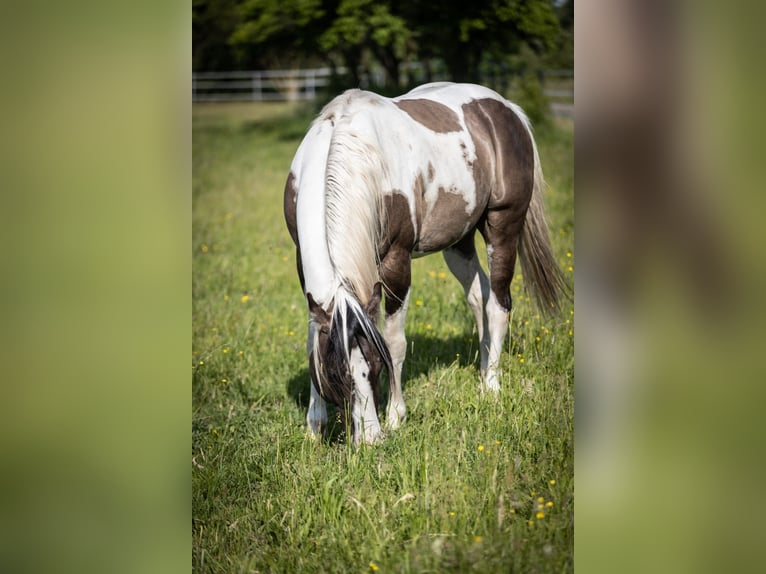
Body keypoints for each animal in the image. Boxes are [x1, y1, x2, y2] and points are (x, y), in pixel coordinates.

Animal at [284, 83, 568, 448]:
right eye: (336, 373)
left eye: (376, 365)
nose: (371, 441)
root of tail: (507, 109)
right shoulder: (303, 265)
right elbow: (312, 340)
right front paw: (313, 425)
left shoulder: (396, 262)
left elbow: (395, 342)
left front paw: (395, 417)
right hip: (459, 241)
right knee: (478, 296)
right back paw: (481, 371)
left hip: (503, 227)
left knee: (499, 304)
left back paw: (491, 387)